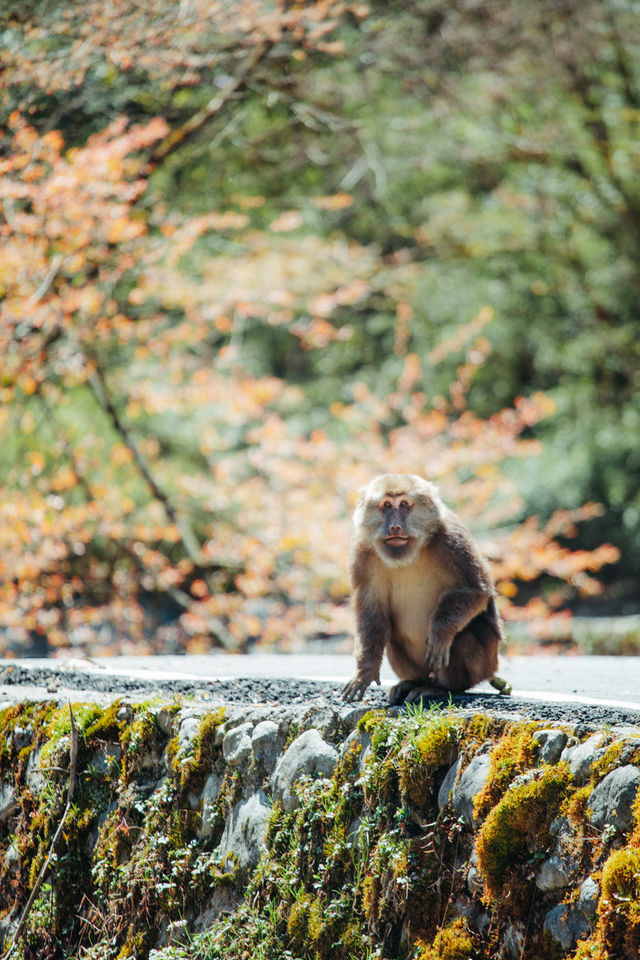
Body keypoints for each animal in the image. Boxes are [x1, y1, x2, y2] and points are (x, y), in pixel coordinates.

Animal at [342, 474, 512, 704]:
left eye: (404, 504)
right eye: (387, 505)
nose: (395, 527)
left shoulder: (451, 538)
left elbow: (476, 589)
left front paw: (439, 633)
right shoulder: (362, 552)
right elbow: (371, 609)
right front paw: (365, 671)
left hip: (485, 664)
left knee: (461, 637)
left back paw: (443, 688)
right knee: (391, 635)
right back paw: (412, 683)